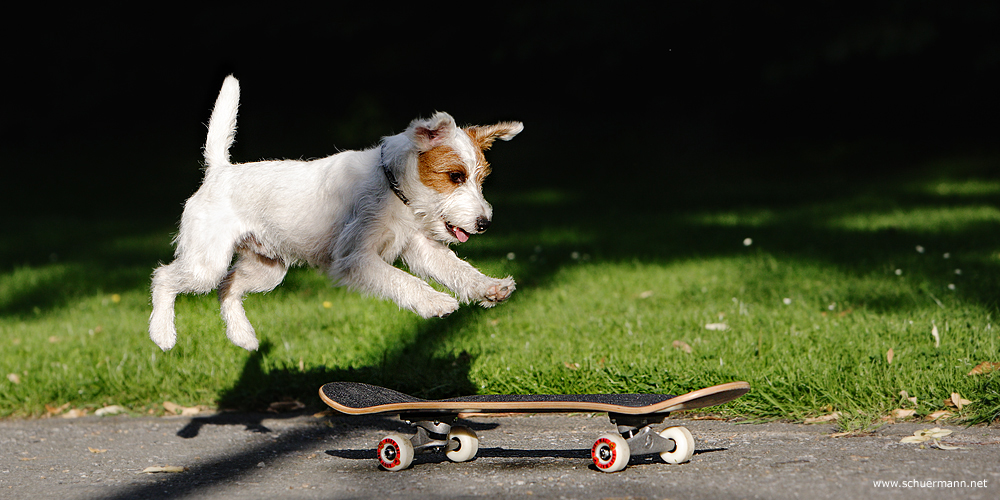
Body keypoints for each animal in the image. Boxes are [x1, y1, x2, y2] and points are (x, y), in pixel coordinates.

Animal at [151, 77, 524, 352]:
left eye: (480, 179)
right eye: (455, 176)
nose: (485, 223)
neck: (392, 187)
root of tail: (219, 171)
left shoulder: (420, 248)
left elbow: (459, 270)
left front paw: (490, 288)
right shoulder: (356, 258)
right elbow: (403, 280)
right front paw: (435, 302)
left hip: (266, 269)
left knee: (227, 288)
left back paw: (243, 336)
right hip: (206, 263)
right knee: (165, 277)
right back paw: (162, 334)